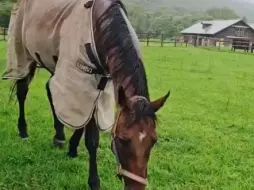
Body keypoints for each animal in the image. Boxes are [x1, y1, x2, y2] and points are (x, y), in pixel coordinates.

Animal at [2, 0, 171, 190]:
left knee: (50, 90)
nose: (136, 187)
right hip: (25, 56)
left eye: (154, 140)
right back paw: (23, 131)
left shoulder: (99, 85)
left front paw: (72, 148)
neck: (100, 23)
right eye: (122, 140)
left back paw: (59, 137)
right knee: (22, 92)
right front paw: (94, 181)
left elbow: (82, 121)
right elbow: (92, 140)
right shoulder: (81, 80)